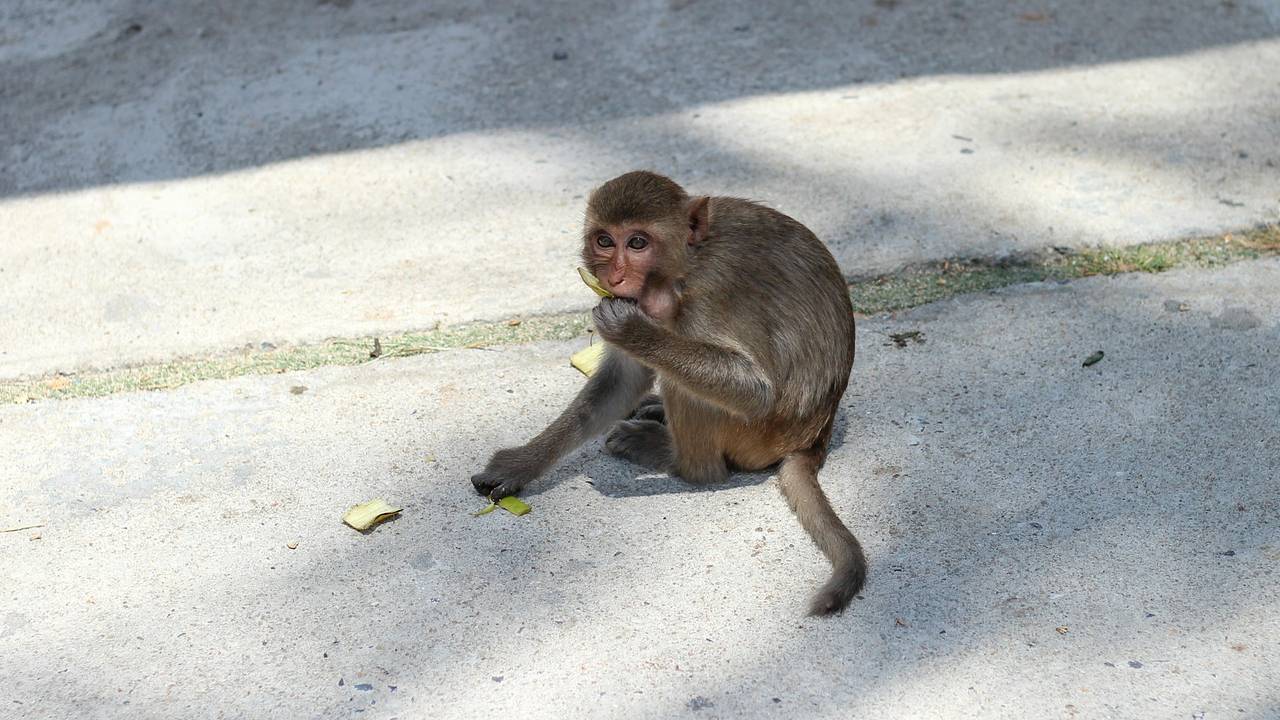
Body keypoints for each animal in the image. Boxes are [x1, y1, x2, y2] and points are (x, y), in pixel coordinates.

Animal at [471, 171, 866, 615]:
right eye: (604, 240)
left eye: (637, 243)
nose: (615, 277)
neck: (685, 265)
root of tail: (816, 436)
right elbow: (621, 380)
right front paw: (521, 463)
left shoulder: (707, 298)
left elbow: (756, 391)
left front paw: (632, 331)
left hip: (760, 435)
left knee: (695, 398)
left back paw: (675, 458)